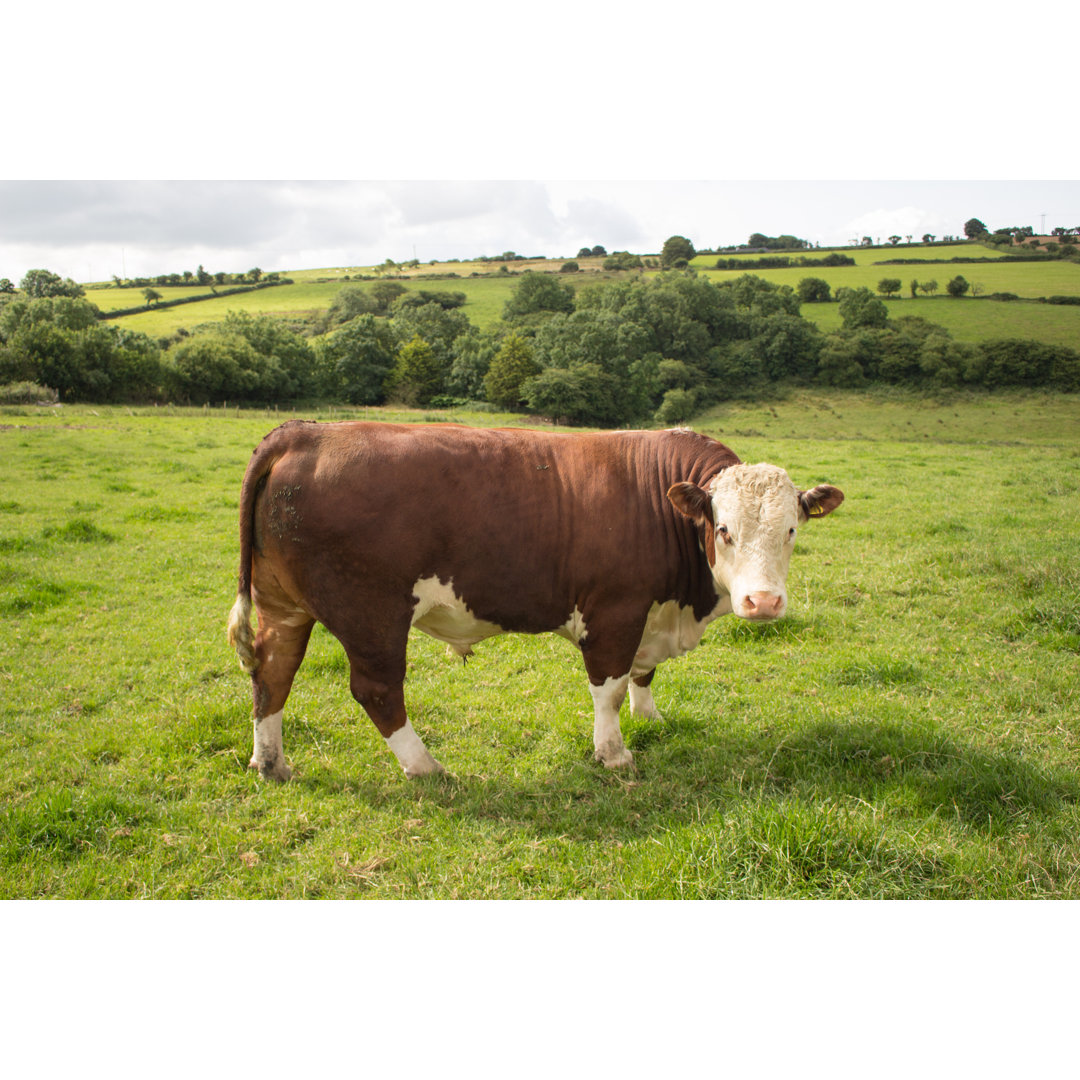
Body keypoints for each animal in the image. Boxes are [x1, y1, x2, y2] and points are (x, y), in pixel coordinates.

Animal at [225, 416, 842, 781]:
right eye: (724, 530)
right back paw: (425, 767)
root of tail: (304, 431)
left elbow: (643, 676)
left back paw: (271, 762)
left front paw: (651, 716)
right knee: (375, 689)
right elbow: (609, 687)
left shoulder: (652, 613)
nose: (763, 603)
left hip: (283, 603)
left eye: (791, 530)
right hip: (371, 612)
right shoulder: (615, 610)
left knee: (272, 671)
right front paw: (614, 752)